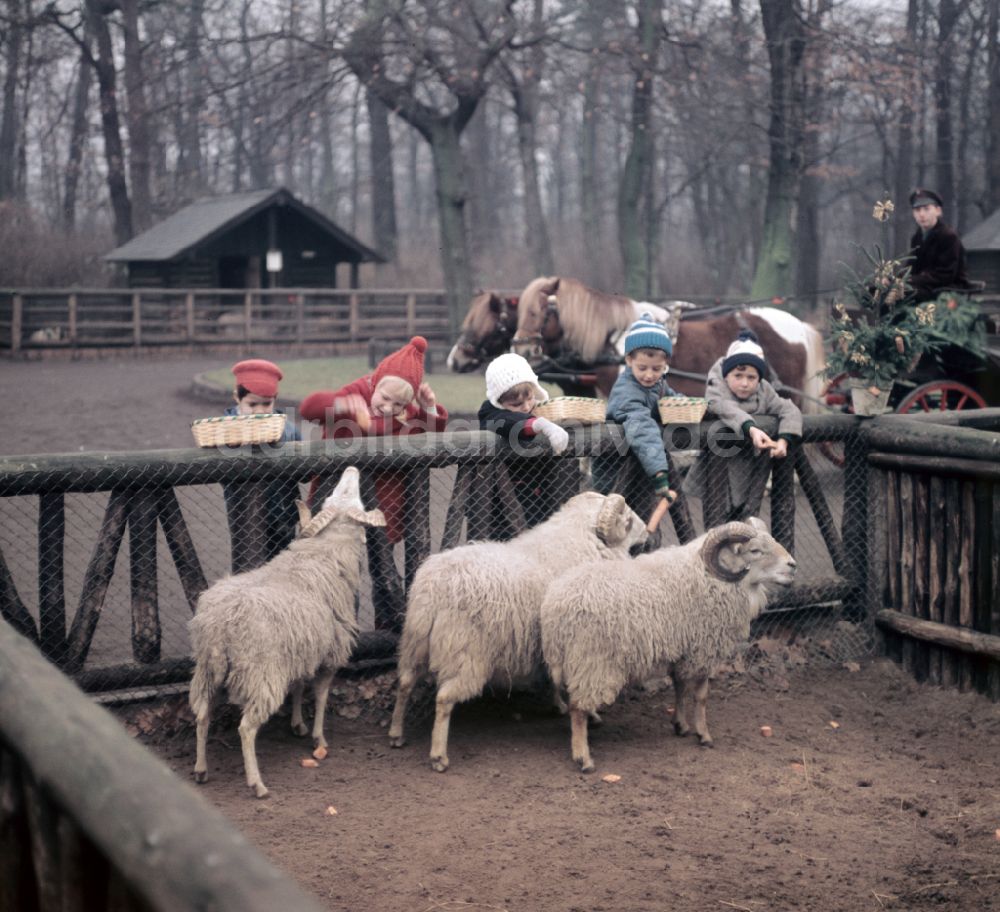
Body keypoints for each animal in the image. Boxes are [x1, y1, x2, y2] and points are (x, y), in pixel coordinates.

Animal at [189, 466, 384, 796]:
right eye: (352, 498)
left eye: (335, 495)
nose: (352, 469)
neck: (325, 554)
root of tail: (220, 625)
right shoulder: (329, 652)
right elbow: (320, 694)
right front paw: (318, 736)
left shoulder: (301, 649)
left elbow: (299, 685)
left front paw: (297, 724)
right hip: (261, 675)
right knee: (246, 728)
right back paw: (256, 783)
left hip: (208, 672)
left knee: (202, 716)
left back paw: (201, 768)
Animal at [382, 492, 648, 768]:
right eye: (628, 520)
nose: (648, 530)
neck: (581, 539)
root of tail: (434, 590)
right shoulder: (576, 644)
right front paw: (590, 714)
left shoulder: (551, 644)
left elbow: (553, 679)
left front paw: (559, 705)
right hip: (465, 654)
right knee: (444, 699)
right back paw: (438, 755)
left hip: (415, 642)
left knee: (405, 683)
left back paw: (396, 734)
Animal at [540, 520, 796, 768]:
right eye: (755, 550)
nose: (792, 566)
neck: (709, 576)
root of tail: (555, 607)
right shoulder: (703, 649)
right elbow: (701, 695)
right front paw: (703, 734)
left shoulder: (682, 649)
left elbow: (680, 686)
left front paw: (680, 725)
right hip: (591, 659)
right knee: (577, 708)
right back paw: (583, 757)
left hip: (574, 660)